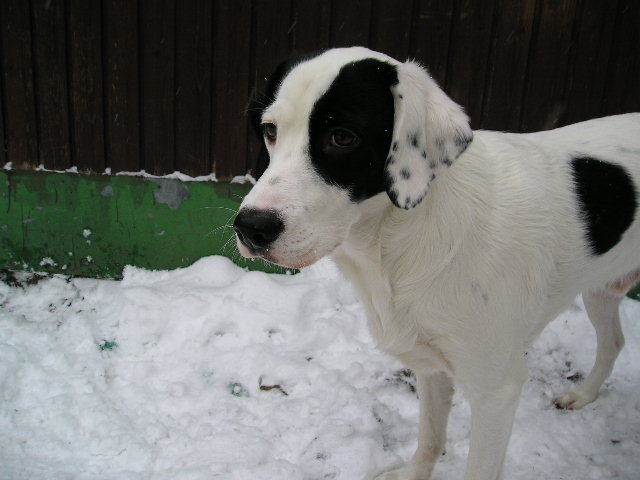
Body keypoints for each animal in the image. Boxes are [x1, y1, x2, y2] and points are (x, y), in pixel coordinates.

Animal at [234, 47, 640, 478]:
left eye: (342, 136)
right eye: (271, 130)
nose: (250, 227)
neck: (397, 241)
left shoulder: (497, 390)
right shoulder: (430, 365)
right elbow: (430, 438)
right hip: (600, 291)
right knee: (613, 342)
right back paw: (584, 394)